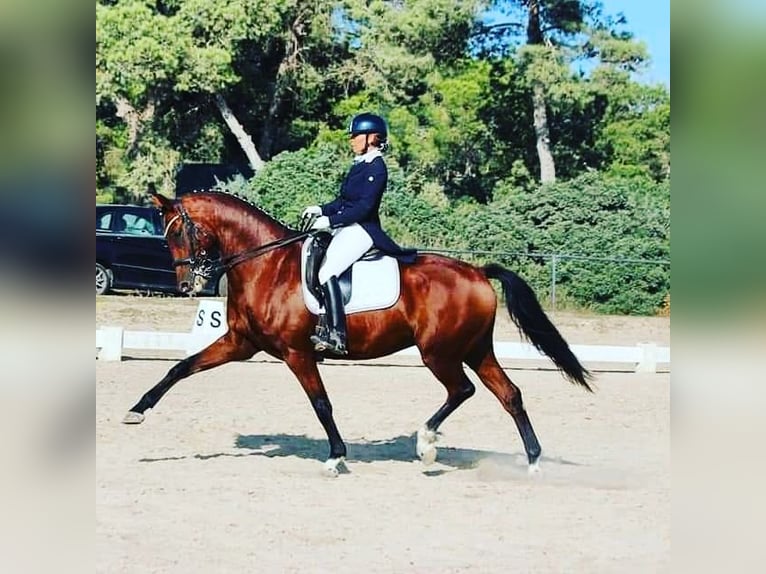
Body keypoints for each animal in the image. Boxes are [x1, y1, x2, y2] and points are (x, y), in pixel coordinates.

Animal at [123, 191, 592, 476]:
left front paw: (336, 457)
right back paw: (533, 463)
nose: (187, 286)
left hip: (439, 353)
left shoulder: (297, 353)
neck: (265, 266)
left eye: (182, 232)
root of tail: (477, 271)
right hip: (475, 349)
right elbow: (182, 367)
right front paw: (137, 411)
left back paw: (426, 443)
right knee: (509, 395)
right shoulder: (242, 343)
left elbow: (321, 403)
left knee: (462, 391)